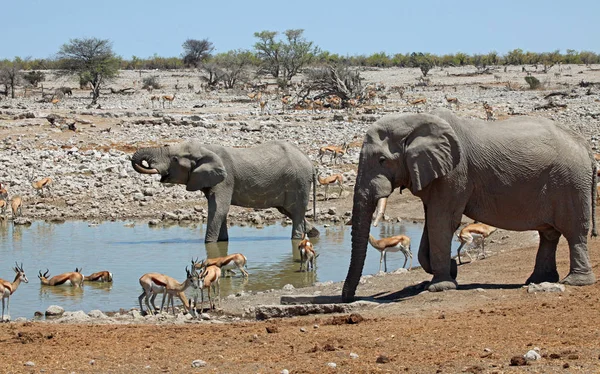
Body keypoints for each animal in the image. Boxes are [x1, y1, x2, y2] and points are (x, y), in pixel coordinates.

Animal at [131, 140, 318, 243]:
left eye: (175, 159)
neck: (204, 148)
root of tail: (310, 163)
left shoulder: (225, 179)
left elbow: (218, 209)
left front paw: (209, 244)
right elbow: (220, 211)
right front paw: (222, 241)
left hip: (299, 182)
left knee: (296, 212)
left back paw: (298, 238)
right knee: (289, 211)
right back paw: (314, 233)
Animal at [340, 108, 596, 300]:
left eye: (382, 160)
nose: (348, 298)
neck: (416, 122)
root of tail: (586, 147)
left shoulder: (455, 174)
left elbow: (442, 222)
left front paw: (441, 286)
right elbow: (431, 223)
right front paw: (451, 270)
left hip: (571, 182)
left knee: (574, 232)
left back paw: (575, 282)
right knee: (548, 234)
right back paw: (539, 280)